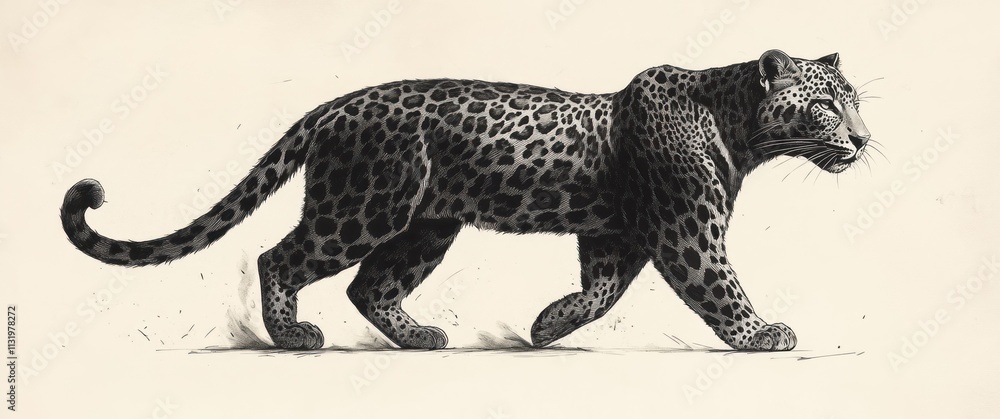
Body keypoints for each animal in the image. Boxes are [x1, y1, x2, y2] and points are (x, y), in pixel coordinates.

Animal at [61, 49, 871, 351]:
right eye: (828, 105)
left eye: (856, 103)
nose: (864, 141)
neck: (737, 124)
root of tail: (334, 106)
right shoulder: (685, 230)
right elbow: (718, 285)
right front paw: (762, 333)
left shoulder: (617, 235)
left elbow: (600, 291)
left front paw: (546, 326)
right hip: (363, 207)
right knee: (279, 257)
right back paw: (294, 336)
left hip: (426, 226)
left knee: (370, 285)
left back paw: (420, 336)